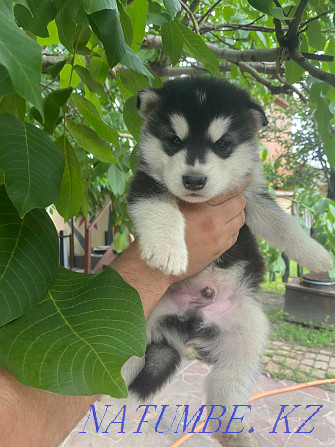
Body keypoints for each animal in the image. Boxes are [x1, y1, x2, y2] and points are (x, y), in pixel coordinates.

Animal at [121, 78, 334, 447]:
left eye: (222, 144)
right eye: (174, 141)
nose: (193, 180)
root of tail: (188, 323)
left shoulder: (251, 198)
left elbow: (284, 224)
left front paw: (317, 255)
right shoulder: (145, 184)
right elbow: (160, 207)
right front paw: (167, 250)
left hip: (247, 329)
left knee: (226, 383)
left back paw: (233, 431)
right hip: (133, 320)